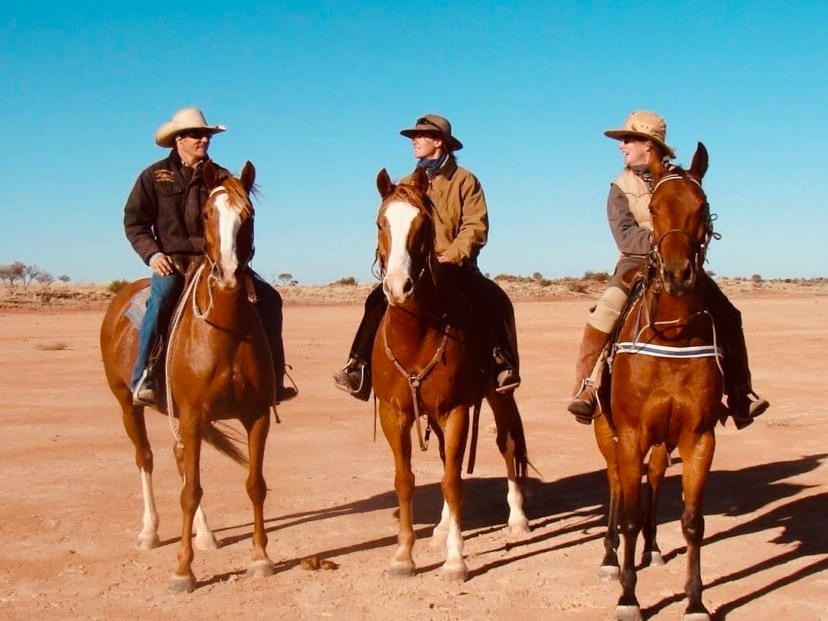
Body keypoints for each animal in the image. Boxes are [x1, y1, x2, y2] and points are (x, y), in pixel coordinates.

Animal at [100, 160, 274, 592]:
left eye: (249, 215)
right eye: (209, 213)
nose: (228, 273)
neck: (225, 331)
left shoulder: (256, 416)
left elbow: (254, 485)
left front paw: (261, 558)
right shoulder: (194, 416)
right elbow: (190, 491)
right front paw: (183, 570)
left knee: (180, 462)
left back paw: (206, 535)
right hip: (128, 404)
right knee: (145, 457)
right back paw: (150, 532)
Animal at [370, 167, 528, 580]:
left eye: (423, 224)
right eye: (380, 223)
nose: (398, 287)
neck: (417, 335)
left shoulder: (455, 410)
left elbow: (453, 482)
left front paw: (456, 560)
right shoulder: (395, 413)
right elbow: (406, 480)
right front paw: (403, 556)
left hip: (500, 395)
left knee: (507, 444)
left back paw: (518, 518)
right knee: (445, 458)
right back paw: (440, 530)